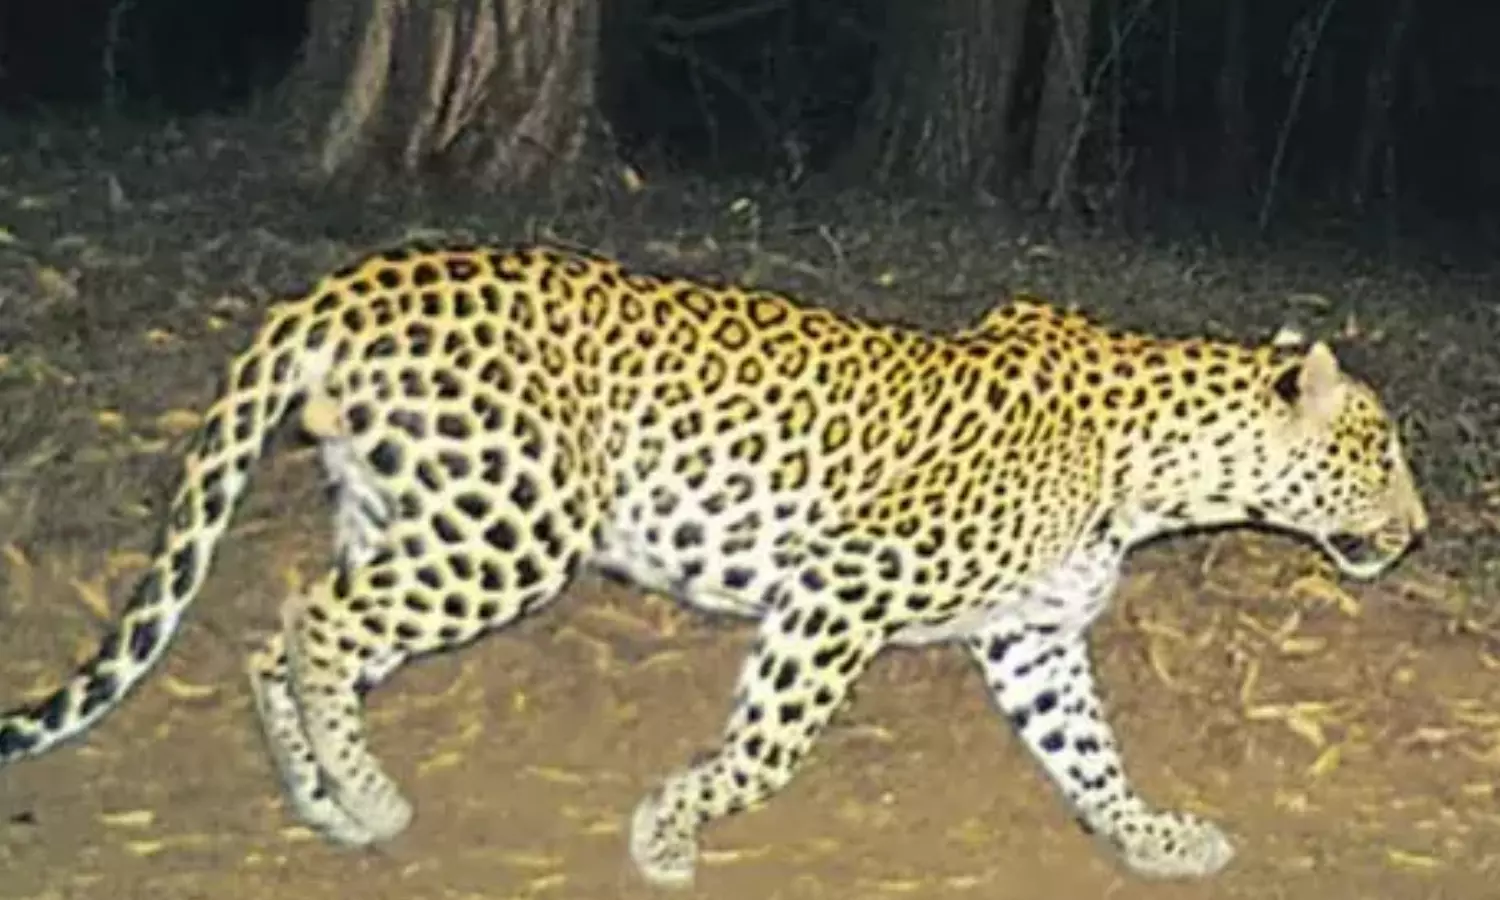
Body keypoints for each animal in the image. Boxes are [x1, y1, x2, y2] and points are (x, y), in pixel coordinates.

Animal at [0, 242, 1427, 887]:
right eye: (1381, 452)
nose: (1418, 530)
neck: (1161, 471)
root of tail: (348, 284)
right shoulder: (842, 583)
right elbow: (770, 748)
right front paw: (673, 827)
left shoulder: (1029, 638)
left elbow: (1091, 753)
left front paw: (1154, 837)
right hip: (508, 530)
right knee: (316, 625)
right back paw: (371, 797)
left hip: (409, 511)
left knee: (281, 623)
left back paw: (322, 798)